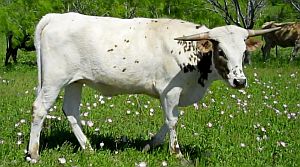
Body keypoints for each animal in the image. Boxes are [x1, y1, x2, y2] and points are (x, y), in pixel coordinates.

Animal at [27, 12, 280, 162]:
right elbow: (172, 121)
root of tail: (57, 17)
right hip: (54, 79)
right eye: (221, 52)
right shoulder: (170, 92)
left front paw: (150, 145)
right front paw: (177, 153)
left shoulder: (174, 95)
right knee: (40, 109)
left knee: (71, 111)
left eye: (244, 52)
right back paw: (33, 153)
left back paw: (88, 148)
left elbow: (169, 121)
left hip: (75, 81)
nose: (240, 81)